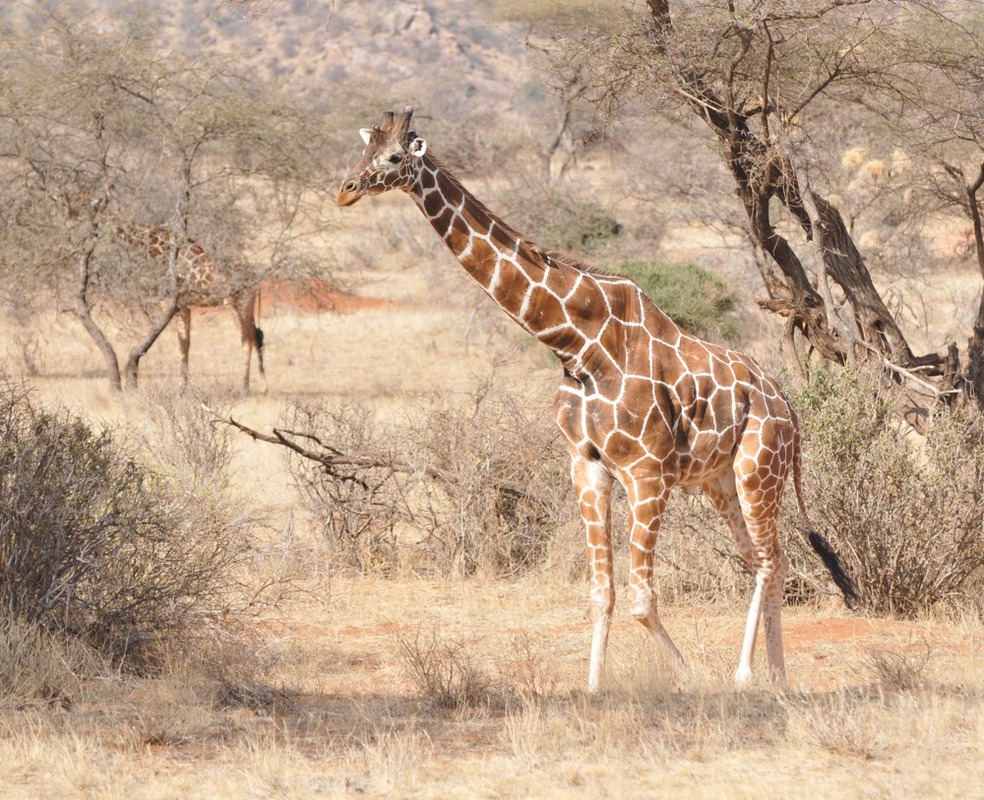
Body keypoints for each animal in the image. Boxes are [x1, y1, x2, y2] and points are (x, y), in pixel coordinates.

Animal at [116, 220, 268, 396]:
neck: (162, 249)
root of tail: (257, 281)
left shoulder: (178, 304)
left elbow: (182, 345)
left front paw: (181, 389)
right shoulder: (184, 306)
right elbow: (186, 344)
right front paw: (184, 389)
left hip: (238, 304)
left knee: (247, 340)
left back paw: (245, 389)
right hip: (245, 306)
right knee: (257, 335)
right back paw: (263, 388)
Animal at [336, 108, 852, 692]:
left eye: (393, 157)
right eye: (362, 151)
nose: (346, 190)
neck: (577, 345)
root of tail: (791, 410)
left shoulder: (647, 474)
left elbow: (642, 601)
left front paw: (690, 675)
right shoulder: (587, 466)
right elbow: (601, 592)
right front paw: (593, 687)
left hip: (758, 470)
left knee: (771, 559)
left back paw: (749, 674)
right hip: (719, 480)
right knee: (763, 559)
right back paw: (774, 674)